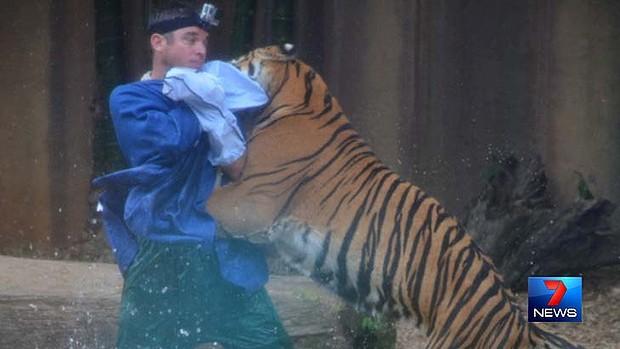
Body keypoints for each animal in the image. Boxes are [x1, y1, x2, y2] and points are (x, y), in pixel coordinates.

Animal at [208, 44, 580, 346]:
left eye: (245, 59)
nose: (226, 59)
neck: (298, 93)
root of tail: (517, 323)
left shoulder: (251, 201)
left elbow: (208, 201)